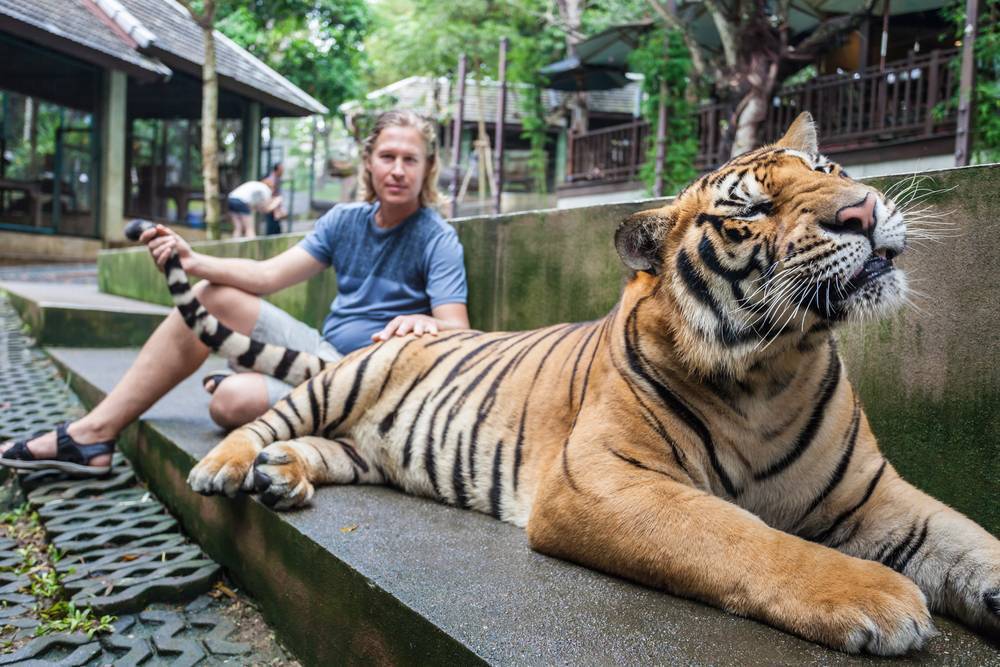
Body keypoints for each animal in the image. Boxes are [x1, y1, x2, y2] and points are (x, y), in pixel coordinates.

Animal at [125, 113, 999, 655]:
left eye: (826, 167)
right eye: (748, 212)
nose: (864, 209)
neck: (777, 366)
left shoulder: (872, 491)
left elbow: (966, 540)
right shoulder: (606, 480)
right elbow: (742, 535)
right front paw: (877, 596)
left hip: (375, 447)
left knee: (325, 448)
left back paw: (286, 477)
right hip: (348, 378)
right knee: (263, 420)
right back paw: (232, 466)